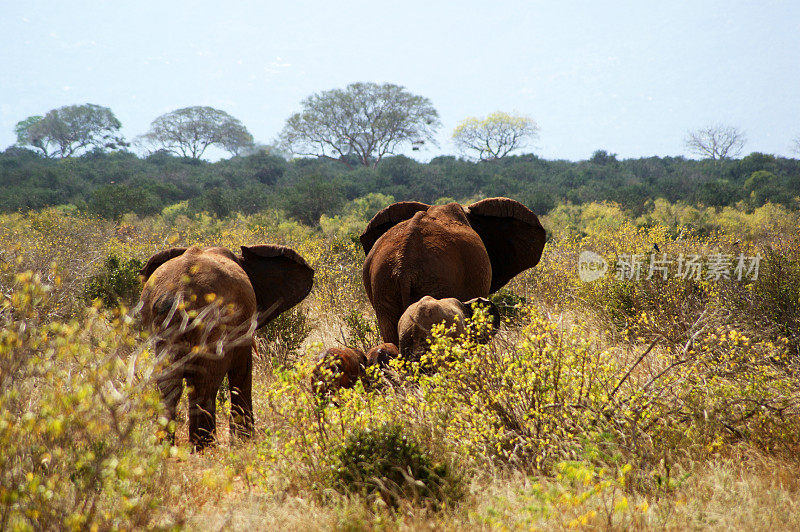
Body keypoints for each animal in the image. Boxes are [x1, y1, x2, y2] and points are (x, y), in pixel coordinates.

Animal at [138, 244, 312, 448]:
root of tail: (181, 292)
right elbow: (242, 370)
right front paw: (245, 441)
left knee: (170, 385)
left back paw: (169, 445)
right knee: (206, 382)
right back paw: (204, 446)